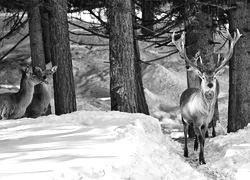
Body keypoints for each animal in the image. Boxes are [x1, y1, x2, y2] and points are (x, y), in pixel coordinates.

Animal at [173, 28, 241, 165]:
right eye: (203, 77)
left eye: (214, 76)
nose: (210, 85)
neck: (204, 112)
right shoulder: (196, 121)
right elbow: (200, 138)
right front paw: (201, 159)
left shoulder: (205, 123)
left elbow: (203, 139)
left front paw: (202, 159)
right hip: (184, 118)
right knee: (185, 132)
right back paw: (186, 152)